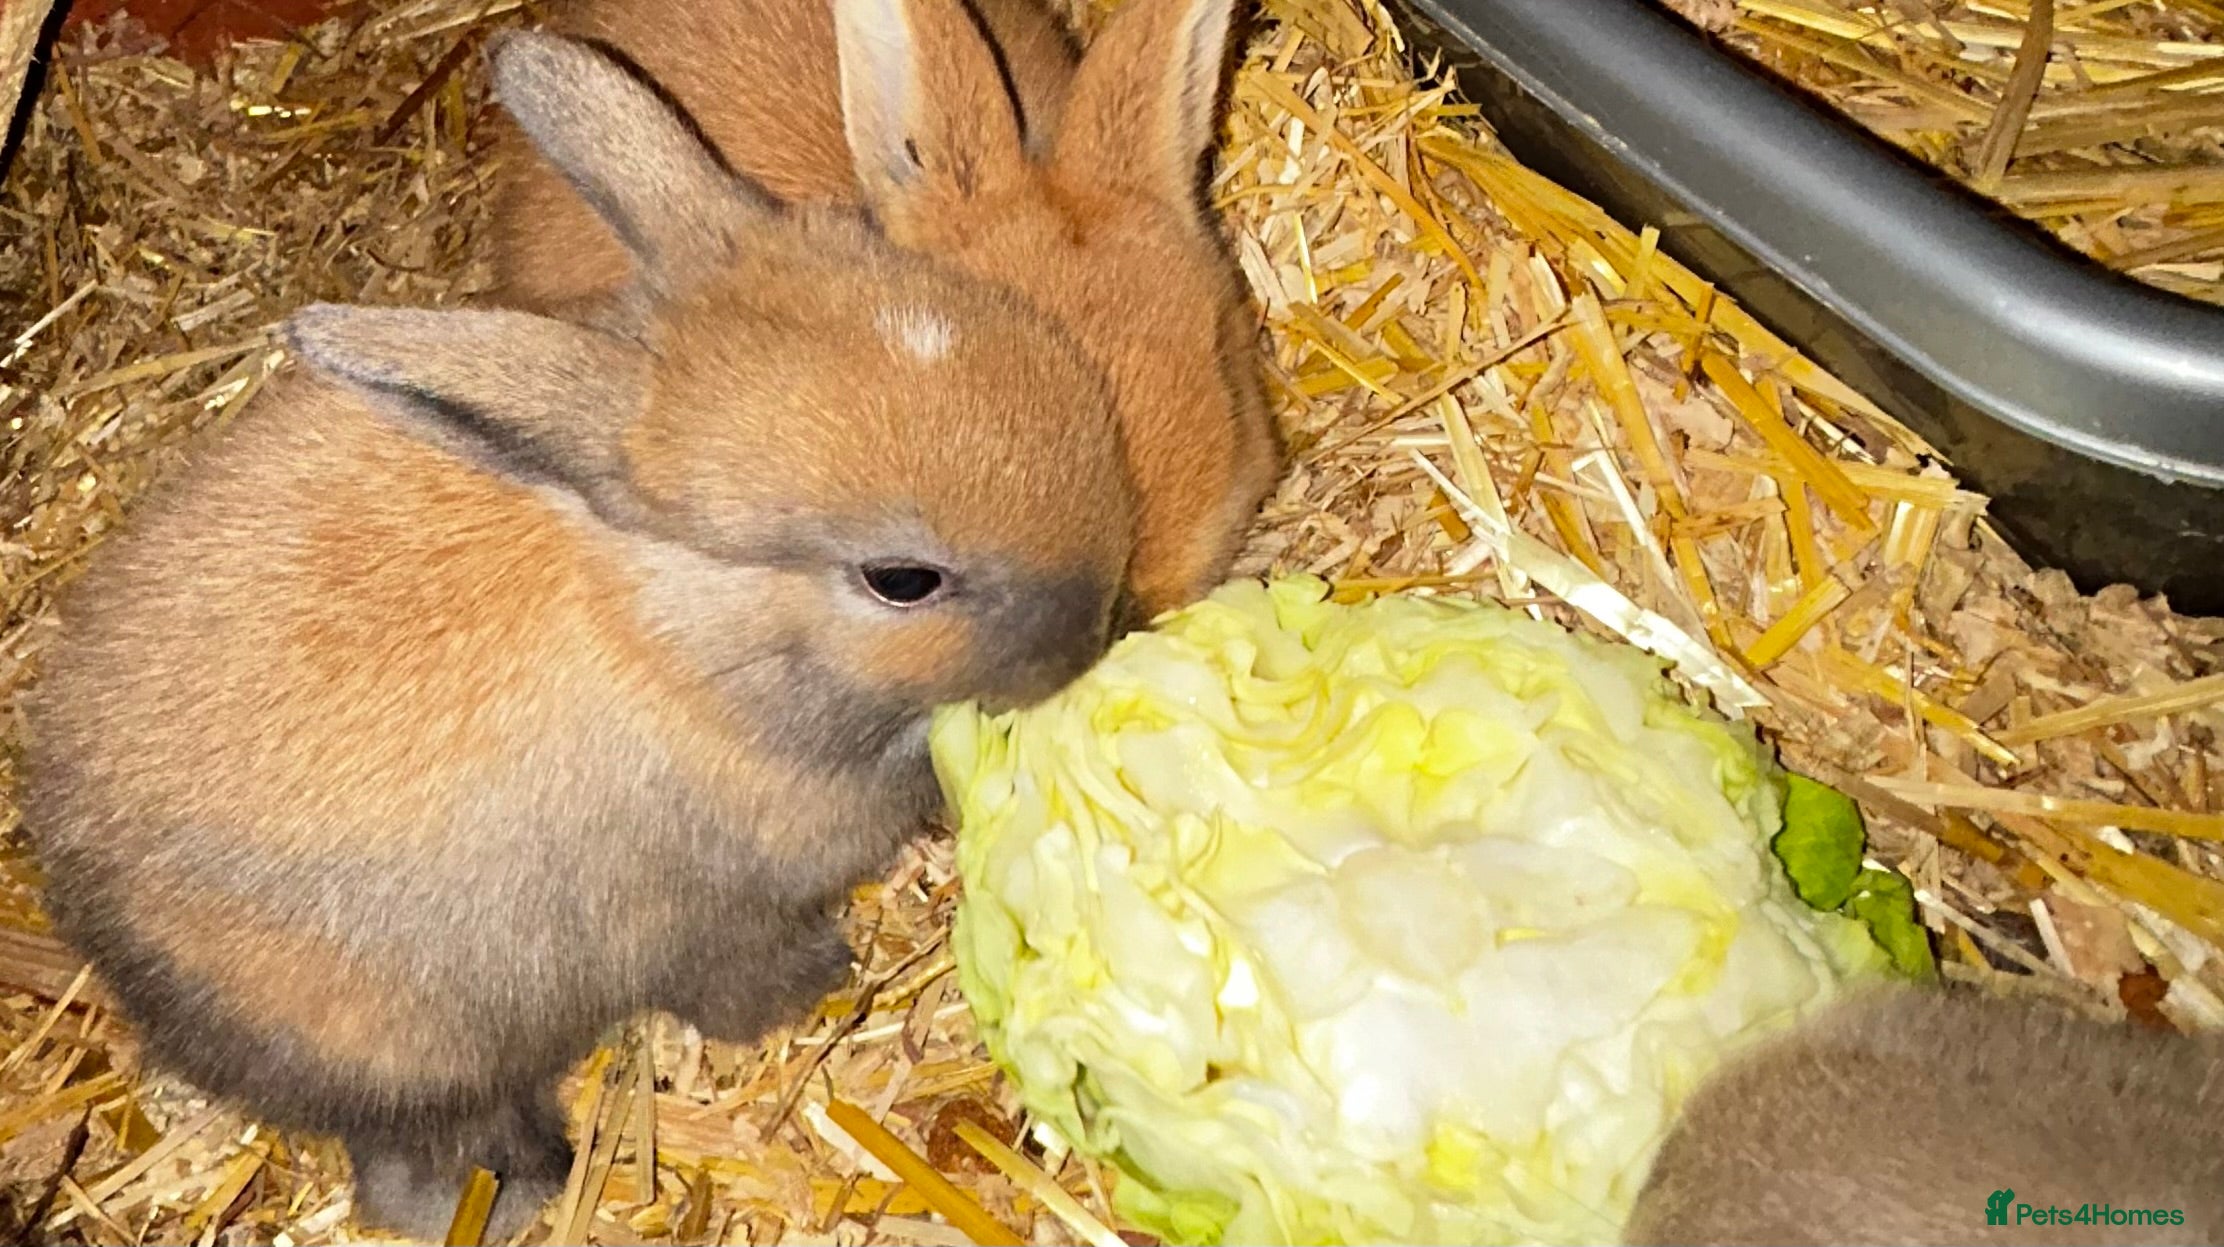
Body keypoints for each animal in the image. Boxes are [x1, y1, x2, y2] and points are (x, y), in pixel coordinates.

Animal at [15, 29, 1136, 1244]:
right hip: (415, 1042)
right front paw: (823, 977)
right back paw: (523, 1186)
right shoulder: (699, 916)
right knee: (420, 1155)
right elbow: (734, 976)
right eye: (901, 580)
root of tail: (90, 912)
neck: (677, 644)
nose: (1104, 621)